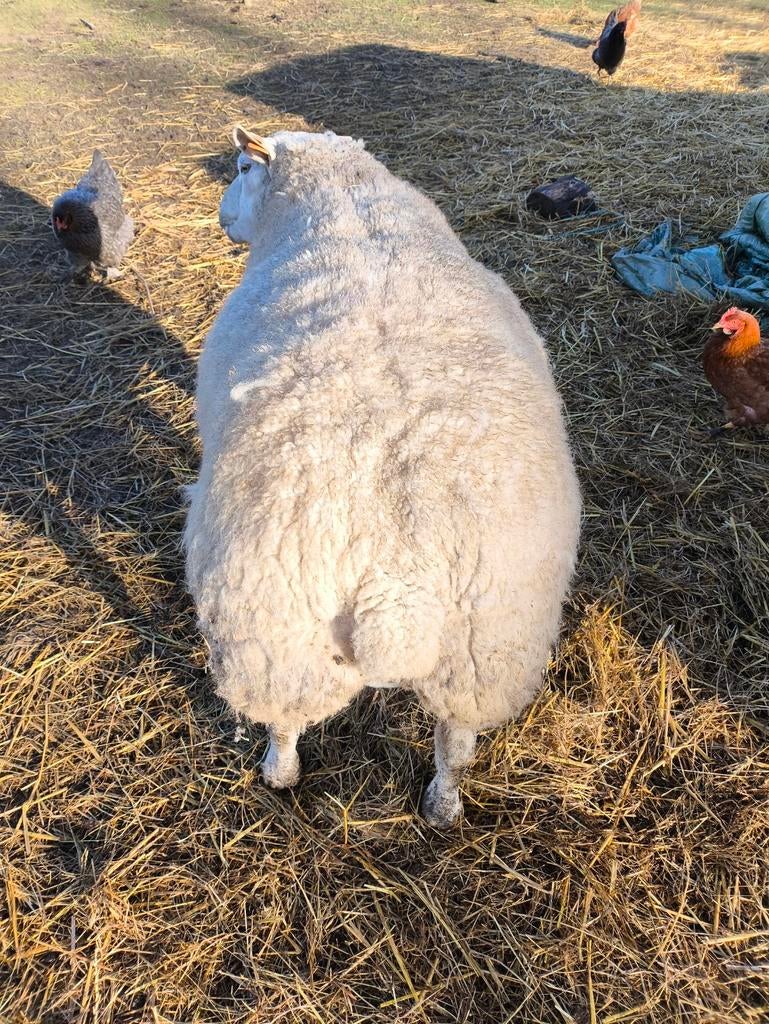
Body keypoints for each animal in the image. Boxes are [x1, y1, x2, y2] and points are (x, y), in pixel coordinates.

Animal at [184, 126, 581, 827]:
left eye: (241, 168)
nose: (222, 218)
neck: (339, 197)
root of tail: (396, 581)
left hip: (274, 637)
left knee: (285, 723)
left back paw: (278, 773)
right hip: (485, 646)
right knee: (456, 740)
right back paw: (443, 807)